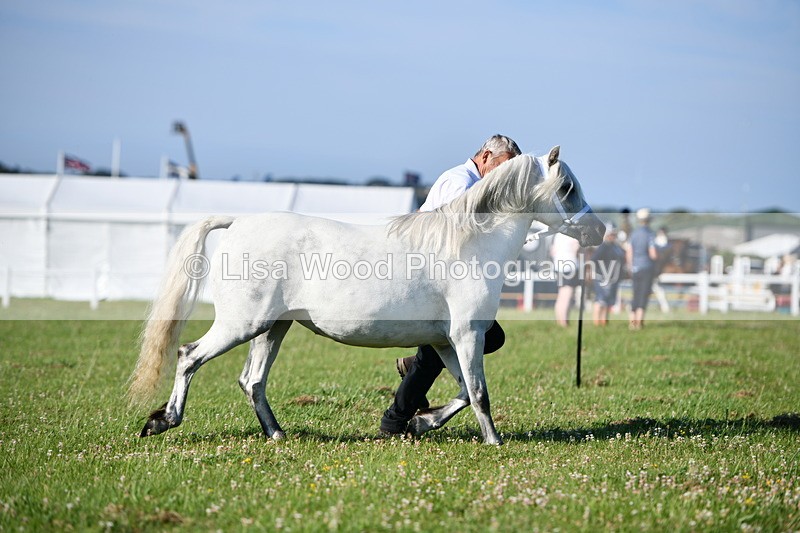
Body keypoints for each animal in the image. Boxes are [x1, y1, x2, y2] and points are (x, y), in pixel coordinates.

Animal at [129, 146, 605, 445]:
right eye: (567, 189)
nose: (598, 231)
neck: (470, 243)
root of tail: (237, 223)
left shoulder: (445, 340)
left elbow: (463, 392)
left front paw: (420, 422)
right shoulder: (467, 335)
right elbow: (480, 393)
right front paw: (494, 441)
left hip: (272, 328)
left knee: (252, 381)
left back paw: (277, 435)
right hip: (241, 325)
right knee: (189, 356)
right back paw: (163, 421)